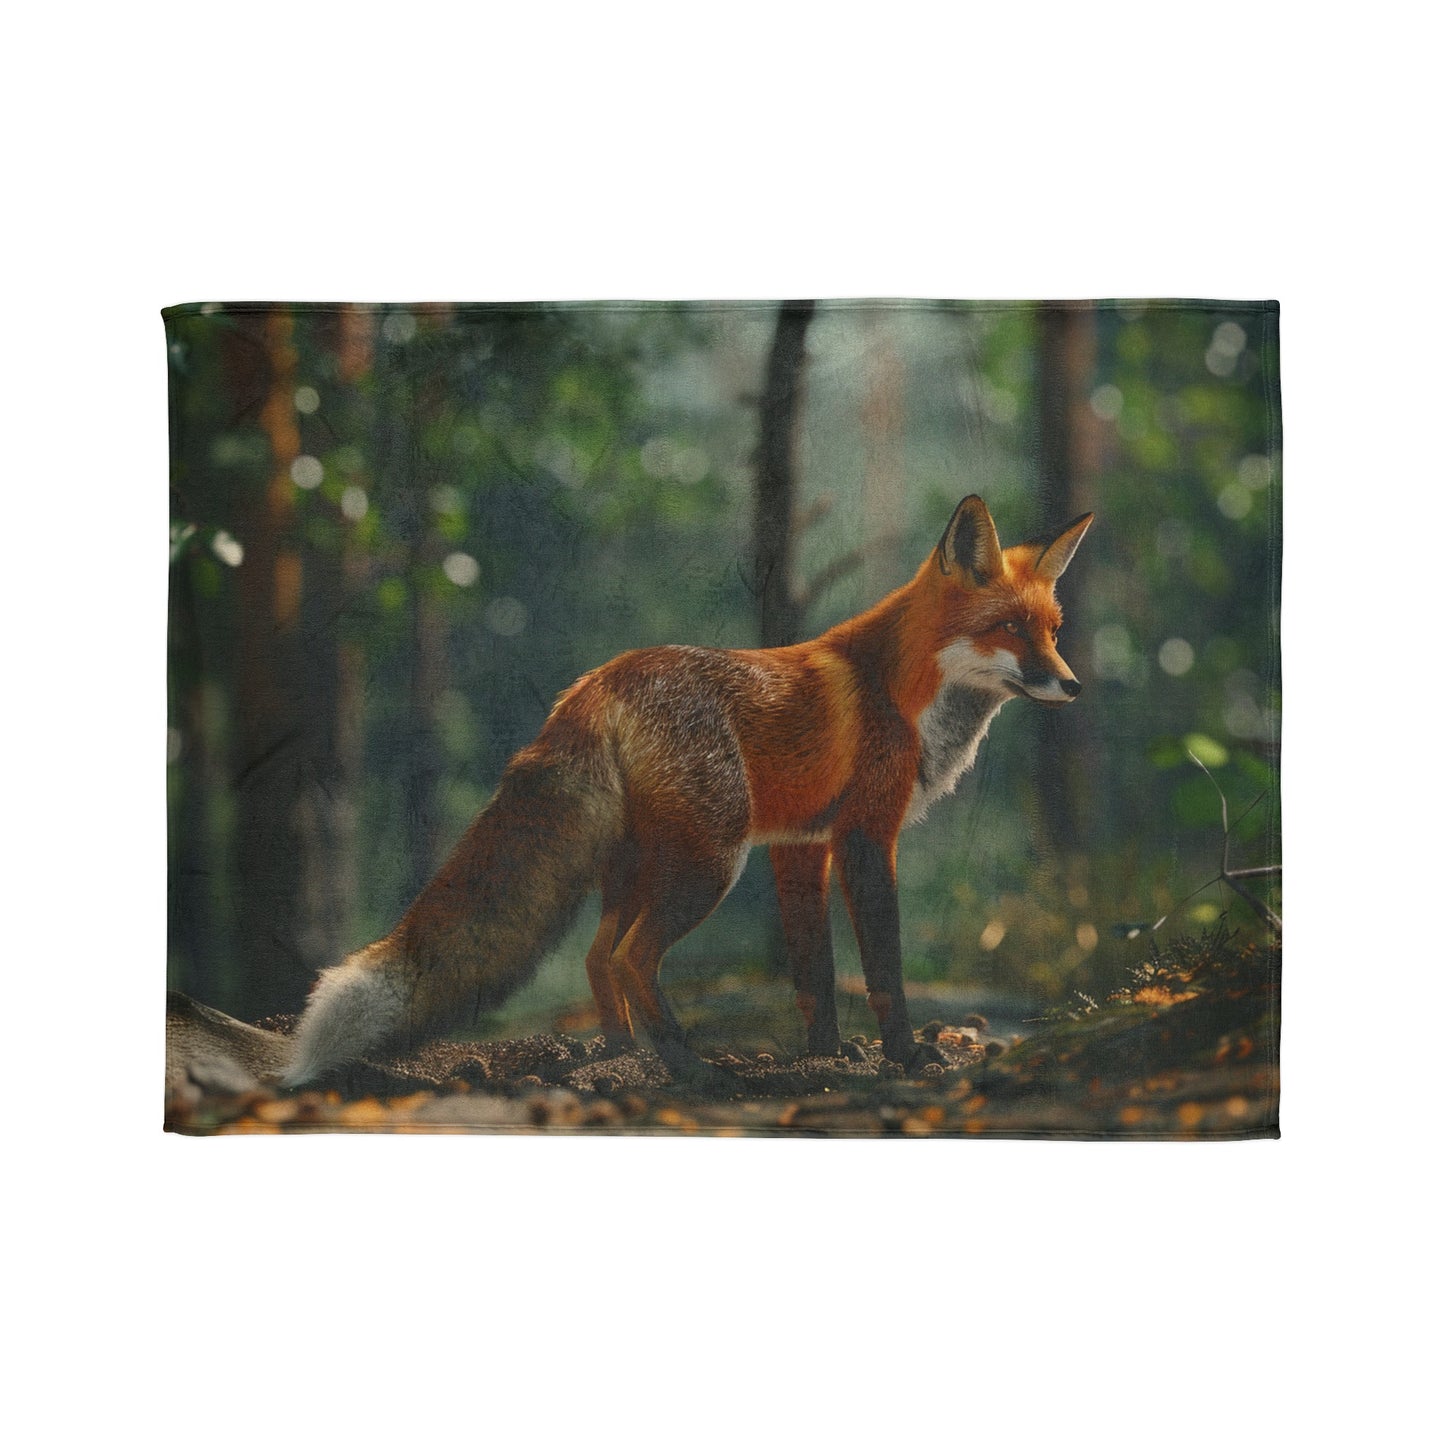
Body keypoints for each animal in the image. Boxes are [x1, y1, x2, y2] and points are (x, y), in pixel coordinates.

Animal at [281, 494, 1093, 1089]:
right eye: (1009, 627)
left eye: (1052, 630)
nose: (1074, 685)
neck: (903, 695)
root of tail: (595, 683)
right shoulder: (865, 835)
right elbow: (884, 966)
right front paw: (904, 1054)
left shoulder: (801, 844)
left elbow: (814, 969)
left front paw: (825, 1054)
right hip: (709, 862)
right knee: (630, 957)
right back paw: (688, 1066)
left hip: (641, 860)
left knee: (597, 955)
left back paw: (619, 1052)